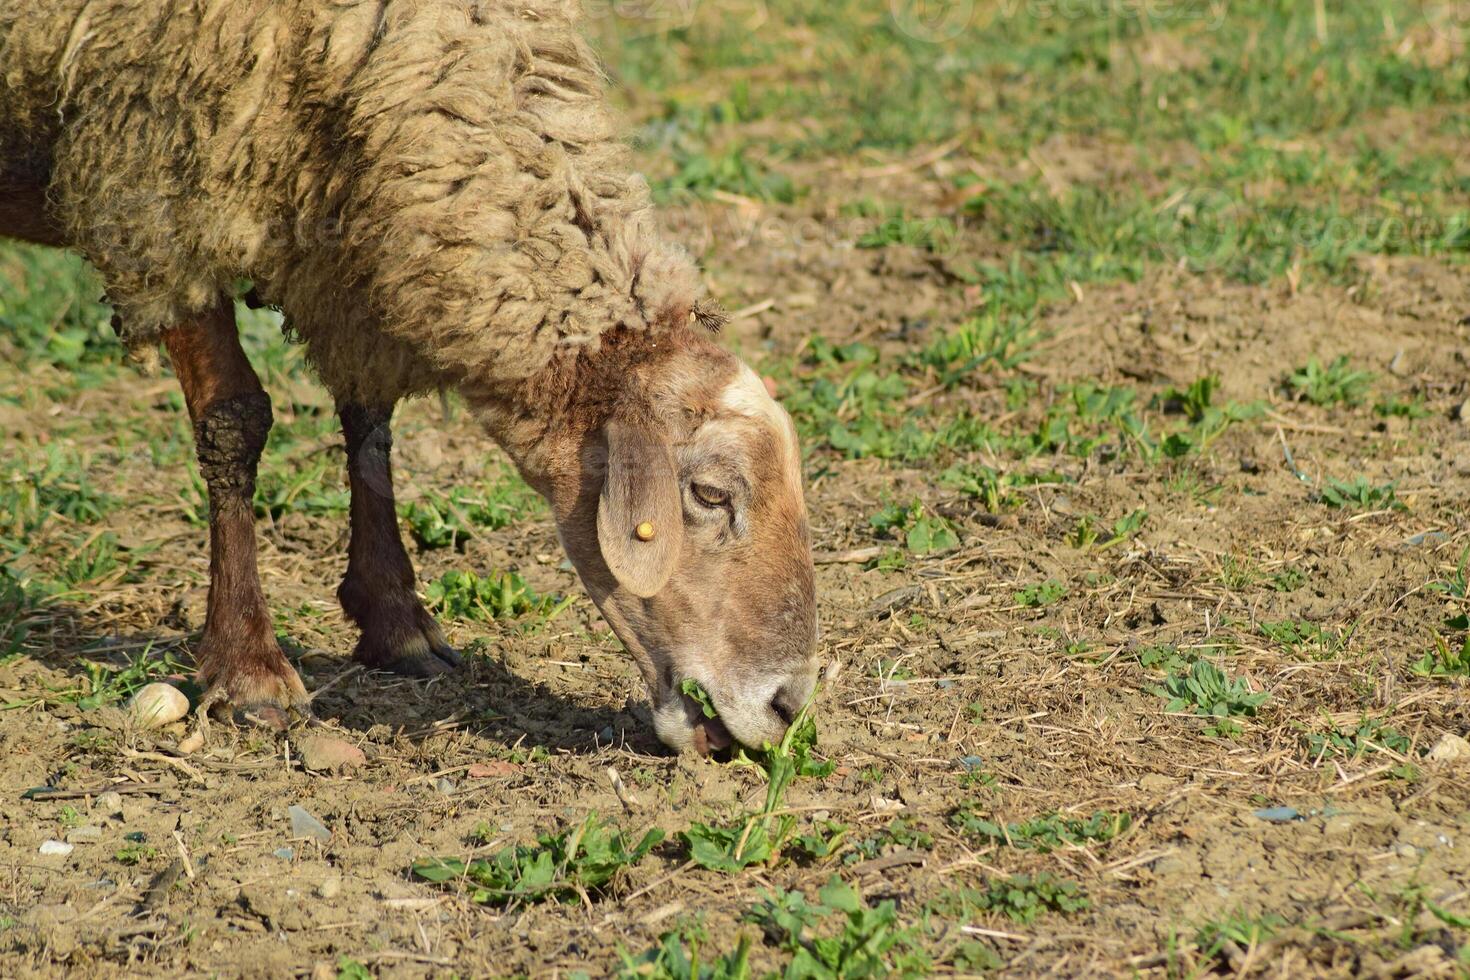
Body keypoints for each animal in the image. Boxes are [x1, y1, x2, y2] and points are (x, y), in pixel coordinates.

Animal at [0, 0, 817, 758]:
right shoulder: (157, 188)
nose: (787, 706)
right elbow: (234, 420)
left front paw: (396, 623)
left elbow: (369, 420)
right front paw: (248, 667)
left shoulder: (344, 234)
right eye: (709, 494)